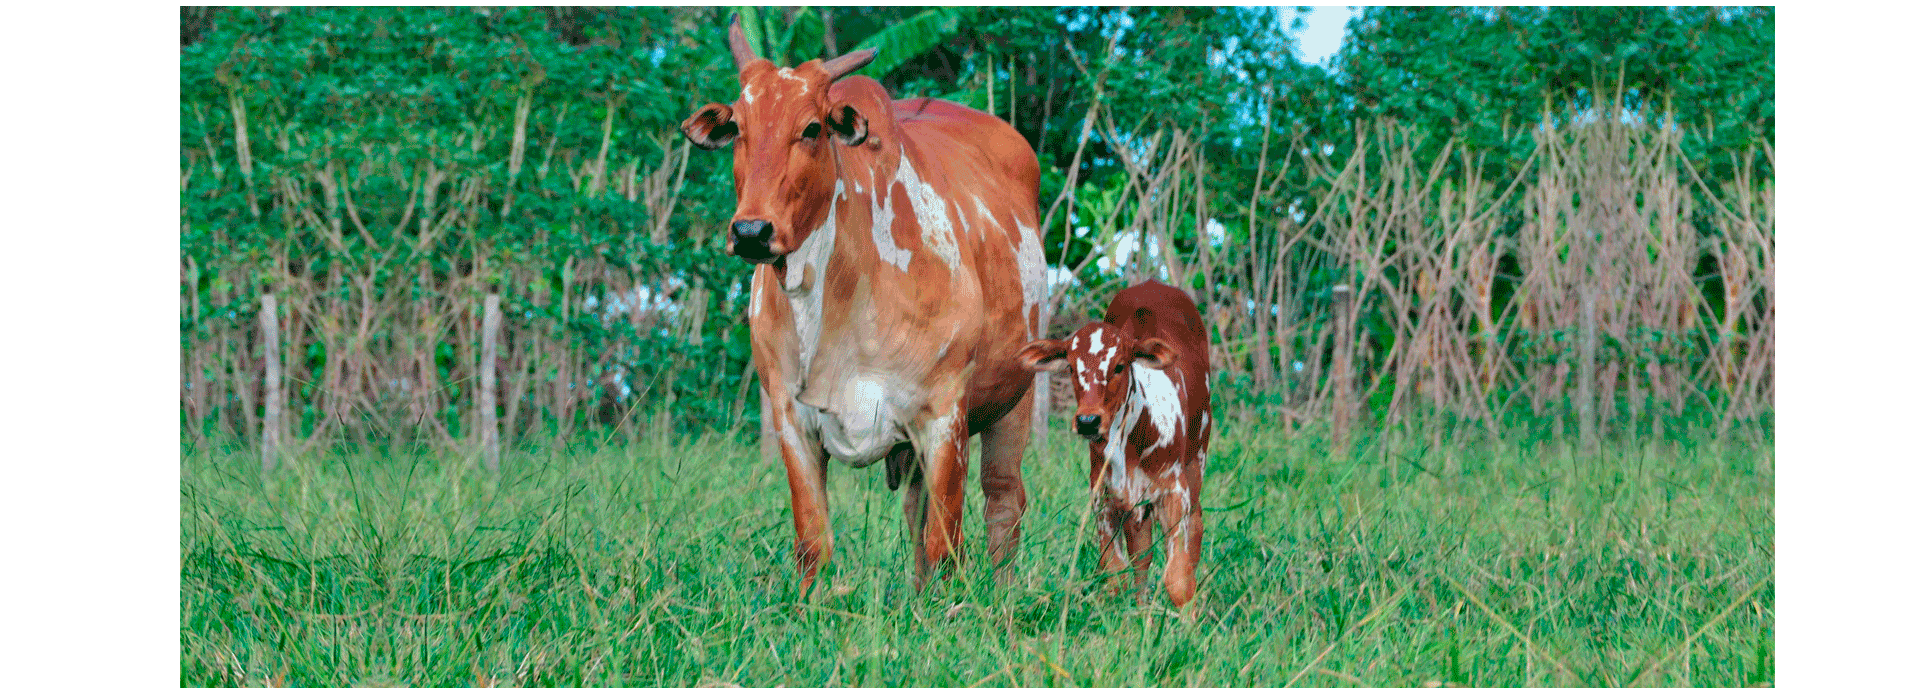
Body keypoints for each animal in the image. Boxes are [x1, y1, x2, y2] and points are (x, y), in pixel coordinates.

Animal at [683, 19, 1052, 590]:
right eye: (738, 128)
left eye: (813, 128)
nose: (750, 231)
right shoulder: (791, 419)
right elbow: (814, 544)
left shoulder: (944, 416)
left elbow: (945, 546)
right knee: (919, 512)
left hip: (1015, 397)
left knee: (1003, 503)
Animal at [1013, 279, 1205, 609]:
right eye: (1071, 367)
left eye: (1119, 366)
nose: (1088, 421)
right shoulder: (1103, 496)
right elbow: (1116, 573)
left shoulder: (1174, 492)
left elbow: (1179, 578)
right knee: (1141, 553)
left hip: (1197, 462)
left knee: (1196, 527)